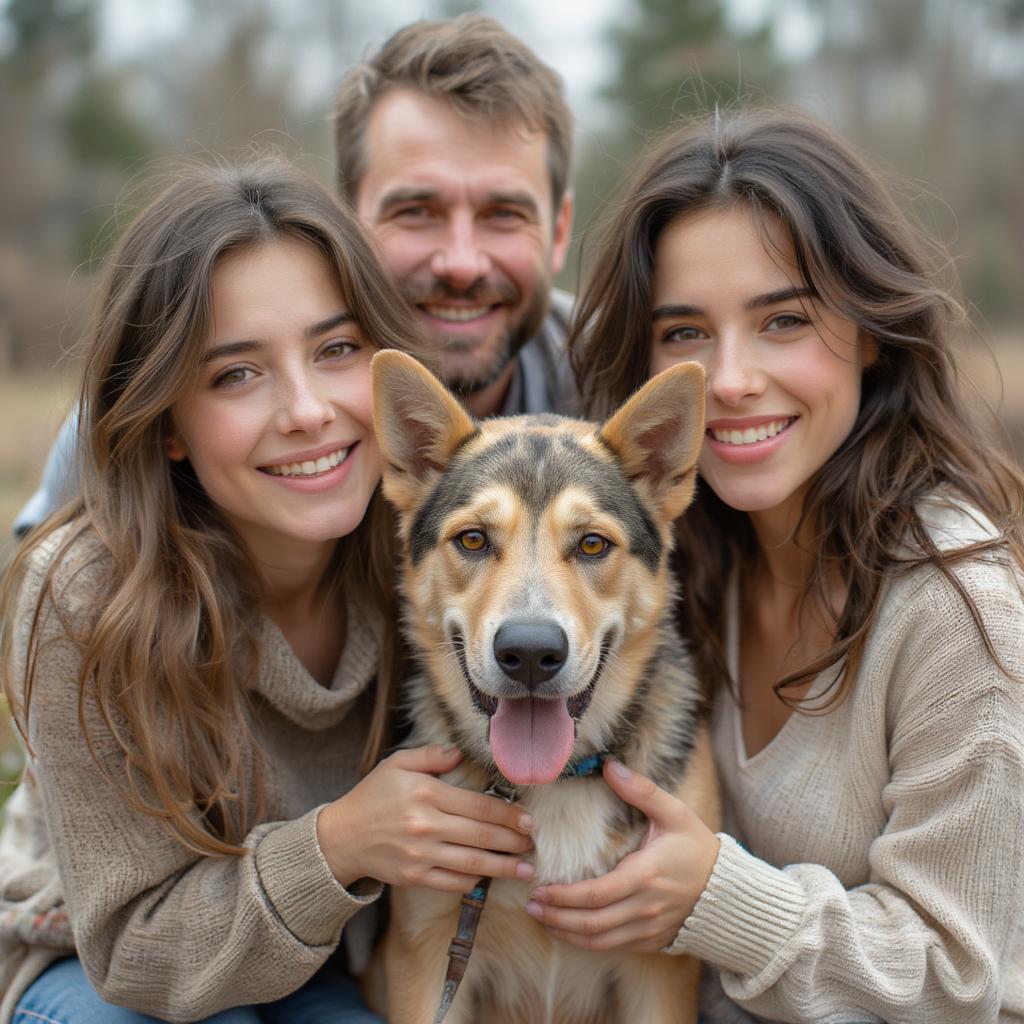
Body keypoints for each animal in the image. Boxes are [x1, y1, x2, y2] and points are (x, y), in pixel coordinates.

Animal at [368, 348, 720, 1019]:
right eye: (473, 539)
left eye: (592, 544)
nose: (530, 654)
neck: (555, 784)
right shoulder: (423, 956)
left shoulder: (657, 970)